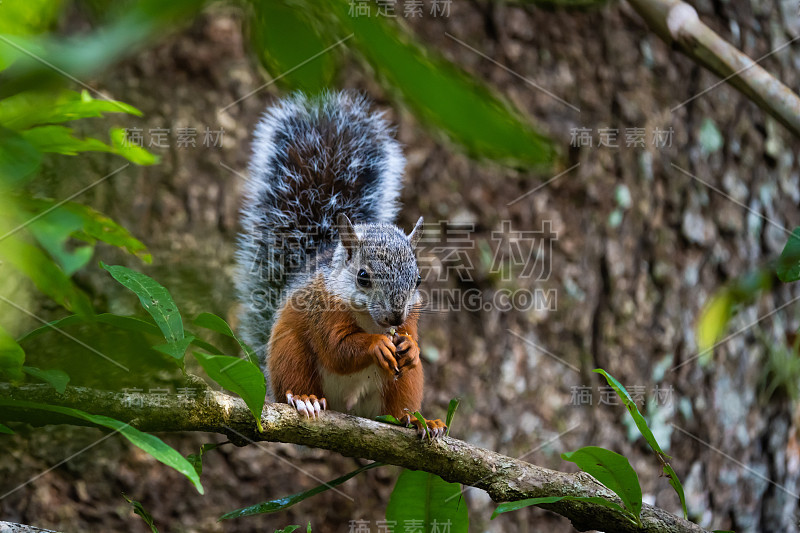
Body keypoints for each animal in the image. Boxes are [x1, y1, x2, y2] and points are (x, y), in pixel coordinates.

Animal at [233, 91, 444, 438]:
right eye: (363, 276)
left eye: (418, 280)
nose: (395, 315)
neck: (371, 321)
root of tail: (347, 407)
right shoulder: (323, 310)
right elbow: (337, 350)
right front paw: (376, 345)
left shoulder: (411, 318)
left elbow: (409, 340)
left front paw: (411, 348)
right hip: (290, 353)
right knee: (297, 378)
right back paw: (305, 399)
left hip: (404, 386)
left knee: (399, 407)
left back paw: (420, 421)